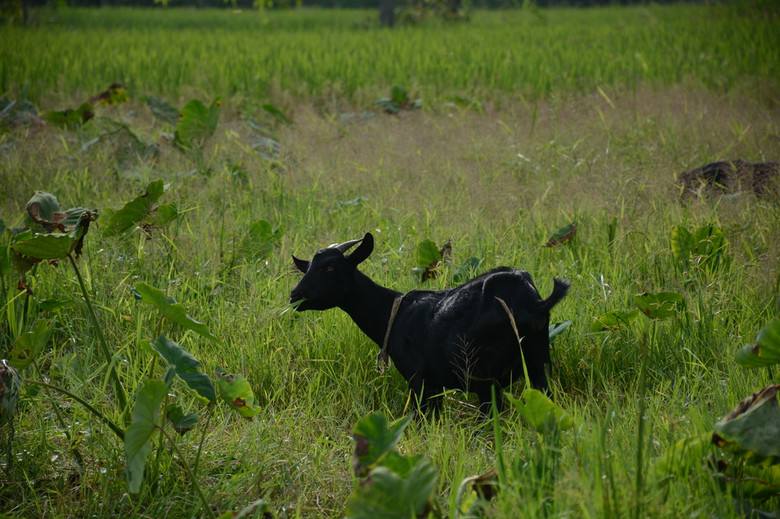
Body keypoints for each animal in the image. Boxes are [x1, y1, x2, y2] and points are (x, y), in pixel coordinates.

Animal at [290, 234, 568, 412]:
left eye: (330, 268)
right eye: (308, 267)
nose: (295, 295)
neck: (393, 315)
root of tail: (534, 302)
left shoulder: (421, 382)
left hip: (485, 375)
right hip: (538, 364)